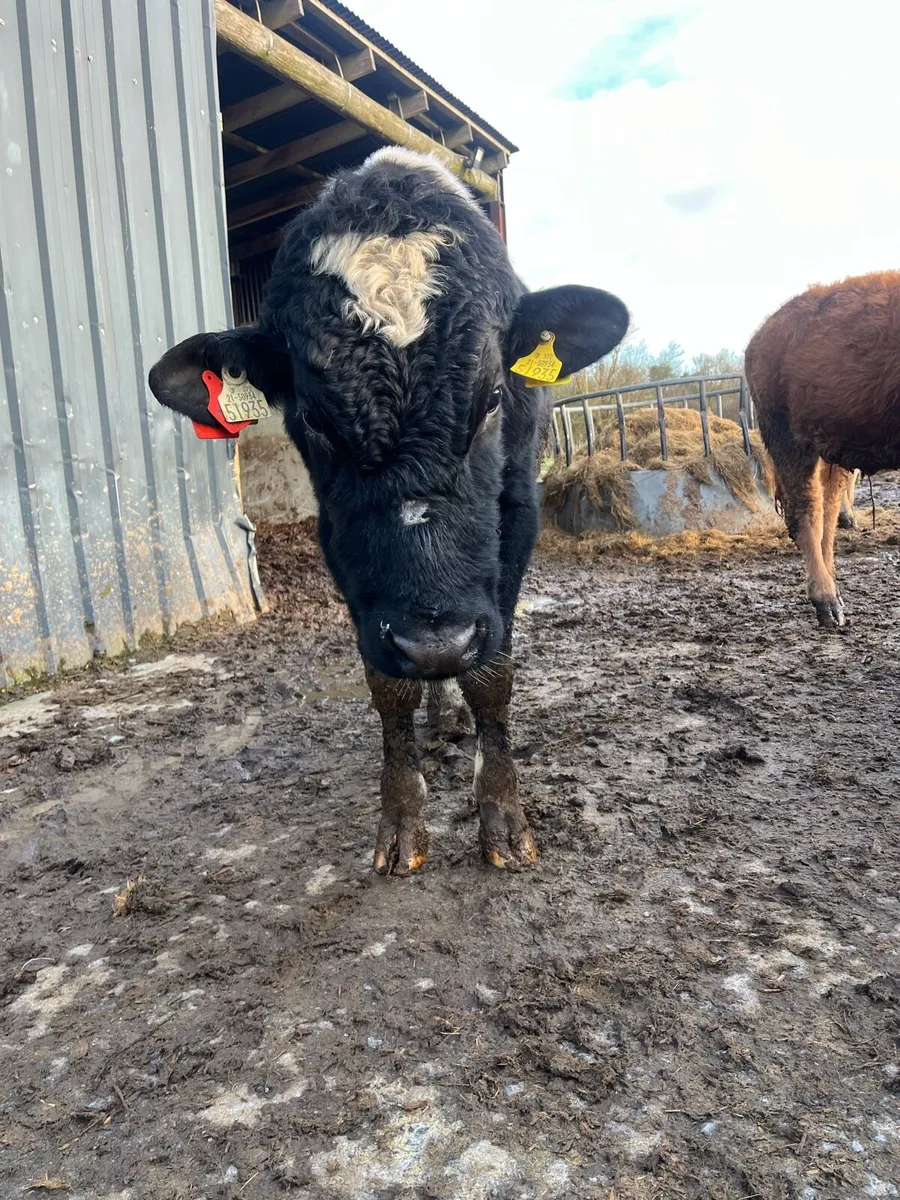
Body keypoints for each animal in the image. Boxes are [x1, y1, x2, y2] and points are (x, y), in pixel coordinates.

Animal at [148, 148, 629, 873]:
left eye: (493, 396)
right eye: (314, 420)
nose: (435, 643)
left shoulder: (518, 518)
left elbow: (493, 673)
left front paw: (502, 816)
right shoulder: (346, 554)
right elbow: (388, 686)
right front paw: (402, 820)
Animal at [745, 271, 900, 628]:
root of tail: (761, 335)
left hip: (833, 452)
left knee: (827, 516)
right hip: (788, 441)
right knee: (807, 514)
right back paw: (827, 603)